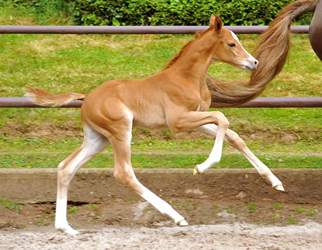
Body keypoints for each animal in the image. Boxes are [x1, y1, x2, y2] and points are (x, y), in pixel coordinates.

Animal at [27, 15, 284, 234]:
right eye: (231, 44)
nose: (254, 62)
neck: (186, 78)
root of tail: (87, 97)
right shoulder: (178, 121)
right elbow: (222, 117)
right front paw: (201, 167)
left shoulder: (195, 118)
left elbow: (232, 135)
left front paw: (275, 182)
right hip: (121, 130)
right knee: (124, 172)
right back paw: (176, 216)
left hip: (97, 139)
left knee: (66, 167)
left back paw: (65, 228)